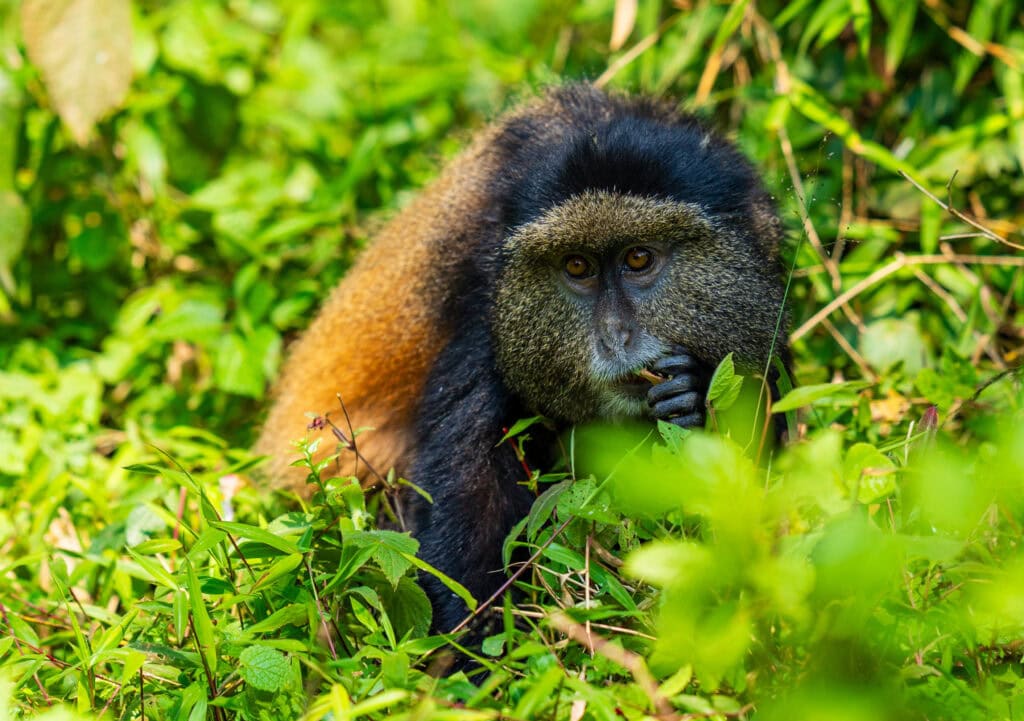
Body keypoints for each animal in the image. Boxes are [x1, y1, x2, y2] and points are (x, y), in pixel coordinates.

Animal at [257, 84, 789, 634]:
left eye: (639, 258)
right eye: (576, 267)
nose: (615, 336)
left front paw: (694, 395)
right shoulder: (481, 311)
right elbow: (473, 483)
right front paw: (471, 646)